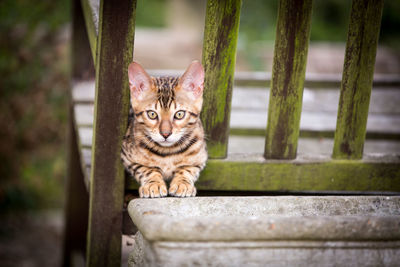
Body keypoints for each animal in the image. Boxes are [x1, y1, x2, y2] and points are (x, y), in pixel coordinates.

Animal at [121, 61, 208, 199]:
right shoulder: (127, 157)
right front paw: (153, 184)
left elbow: (187, 168)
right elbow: (146, 169)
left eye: (179, 114)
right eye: (152, 114)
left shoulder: (200, 157)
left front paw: (182, 183)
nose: (165, 134)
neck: (168, 153)